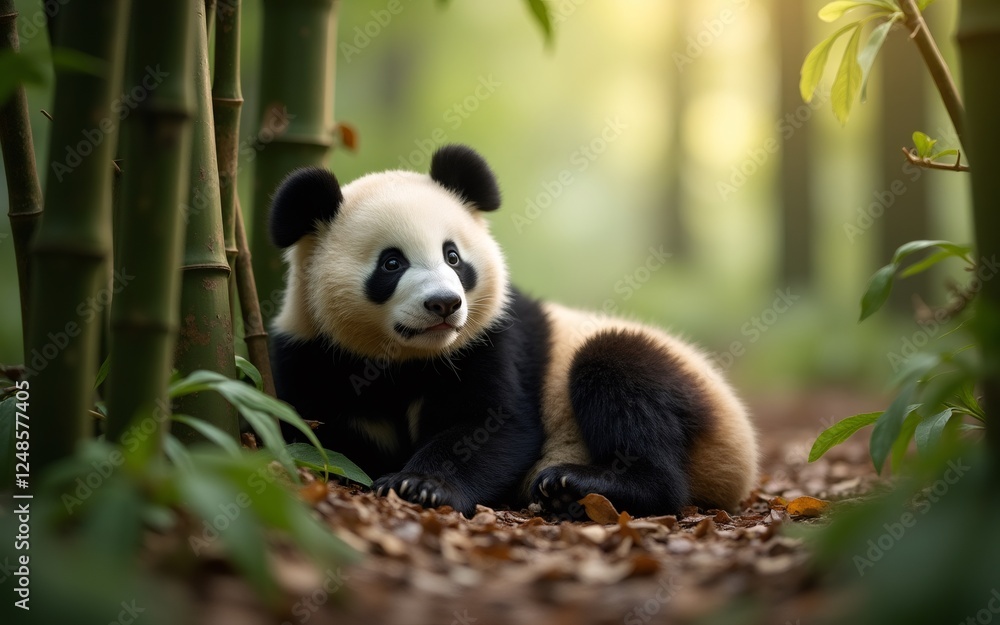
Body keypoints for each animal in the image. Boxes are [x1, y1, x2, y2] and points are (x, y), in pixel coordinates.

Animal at [269, 144, 758, 519]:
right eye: (392, 263)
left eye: (452, 256)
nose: (444, 304)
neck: (406, 358)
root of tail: (742, 458)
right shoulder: (311, 351)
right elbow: (309, 423)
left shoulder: (491, 340)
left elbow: (494, 425)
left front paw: (419, 485)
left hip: (683, 395)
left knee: (620, 374)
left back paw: (576, 484)